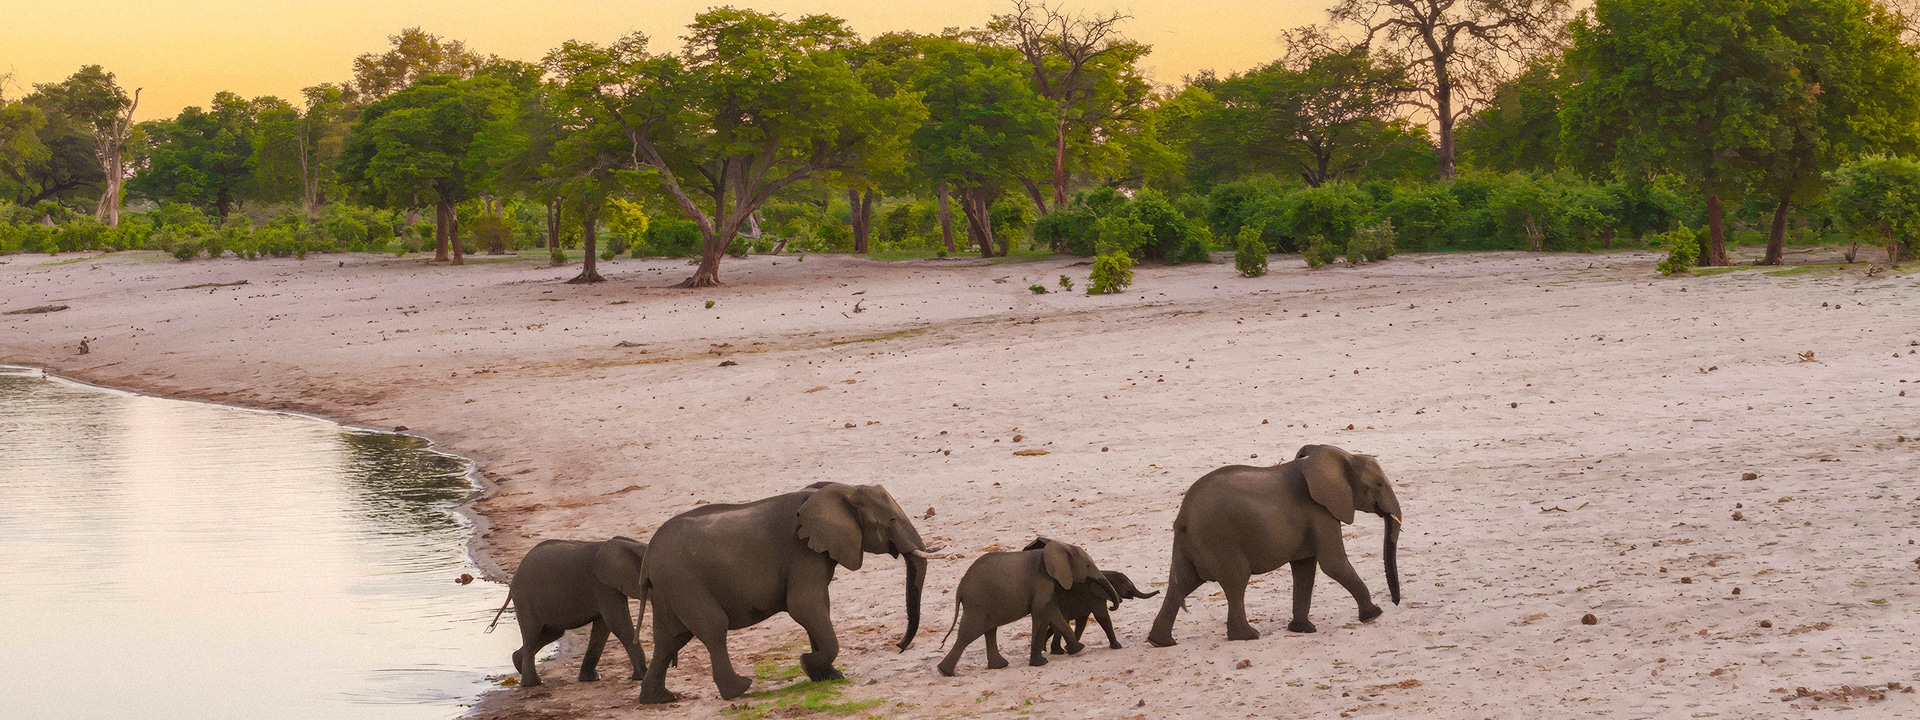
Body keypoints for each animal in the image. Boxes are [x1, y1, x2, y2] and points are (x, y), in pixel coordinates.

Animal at [491, 536, 649, 687]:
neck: (632, 545)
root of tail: (513, 581)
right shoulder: (603, 586)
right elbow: (617, 623)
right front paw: (643, 676)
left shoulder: (606, 587)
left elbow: (603, 628)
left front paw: (591, 679)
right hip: (525, 599)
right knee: (533, 635)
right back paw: (533, 683)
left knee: (552, 633)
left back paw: (518, 663)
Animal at [637, 482, 935, 703]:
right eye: (891, 520)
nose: (898, 647)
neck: (842, 490)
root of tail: (647, 561)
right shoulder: (802, 551)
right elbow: (805, 606)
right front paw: (808, 663)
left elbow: (818, 608)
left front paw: (827, 675)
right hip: (684, 581)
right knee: (712, 627)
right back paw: (740, 689)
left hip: (670, 588)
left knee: (669, 639)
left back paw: (660, 699)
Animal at [936, 538, 1117, 676]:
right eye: (1088, 566)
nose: (1112, 607)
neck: (1056, 548)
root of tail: (960, 589)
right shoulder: (1041, 582)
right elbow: (1043, 614)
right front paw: (1043, 662)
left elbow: (1052, 614)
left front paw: (1075, 649)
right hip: (977, 603)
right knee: (969, 633)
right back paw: (944, 672)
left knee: (989, 630)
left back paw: (997, 666)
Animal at [1146, 444, 1402, 647]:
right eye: (1378, 484)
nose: (1395, 602)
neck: (1340, 456)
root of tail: (1183, 517)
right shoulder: (1320, 512)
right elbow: (1333, 564)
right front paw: (1374, 615)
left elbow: (1304, 569)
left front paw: (1303, 629)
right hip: (1220, 539)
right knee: (1236, 581)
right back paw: (1247, 636)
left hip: (1194, 543)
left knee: (1182, 583)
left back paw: (1161, 642)